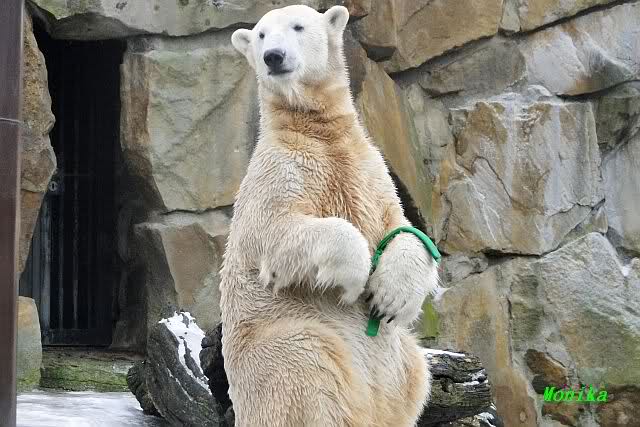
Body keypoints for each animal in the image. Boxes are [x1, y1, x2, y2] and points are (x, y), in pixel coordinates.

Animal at [221, 5, 440, 427]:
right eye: (260, 35)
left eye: (298, 26)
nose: (273, 56)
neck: (319, 132)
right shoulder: (279, 171)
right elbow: (275, 230)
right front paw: (356, 277)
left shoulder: (369, 169)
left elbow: (402, 229)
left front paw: (391, 298)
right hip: (281, 342)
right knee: (310, 368)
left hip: (401, 366)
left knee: (415, 372)